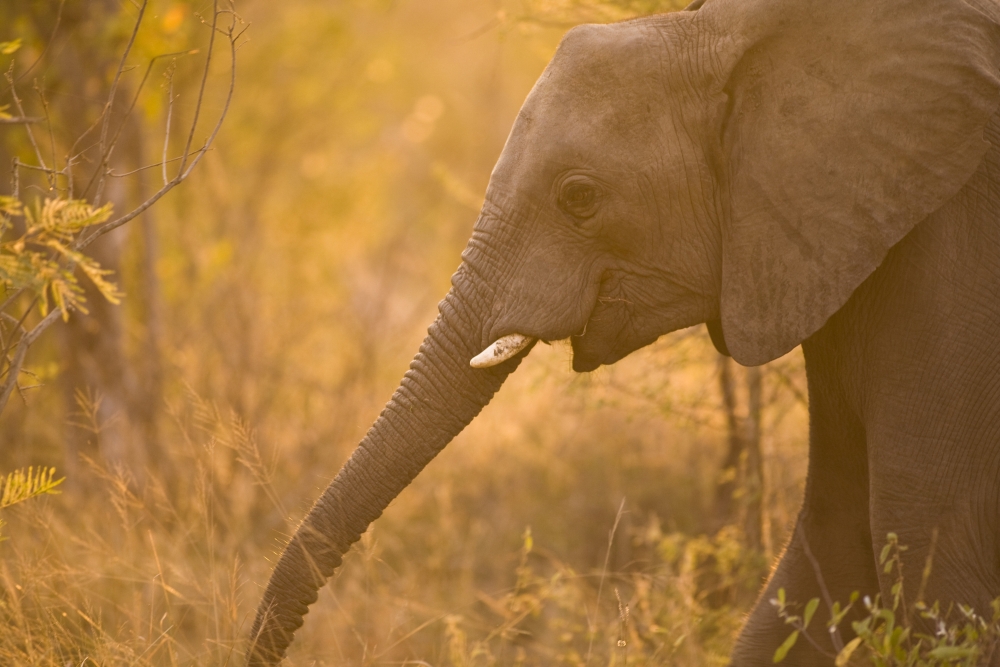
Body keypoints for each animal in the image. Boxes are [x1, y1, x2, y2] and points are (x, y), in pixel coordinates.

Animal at [247, 0, 1000, 662]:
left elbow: (927, 559)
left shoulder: (954, 259)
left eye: (579, 197)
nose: (253, 650)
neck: (740, 33)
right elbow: (828, 548)